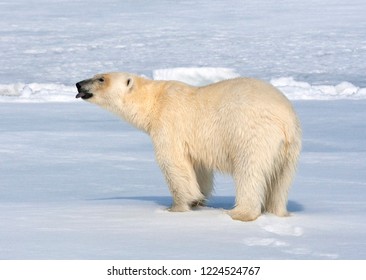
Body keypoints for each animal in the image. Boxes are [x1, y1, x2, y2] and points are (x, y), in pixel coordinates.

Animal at [76, 72, 302, 221]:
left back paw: (239, 212)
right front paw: (198, 201)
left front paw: (176, 207)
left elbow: (173, 163)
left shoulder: (169, 123)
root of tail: (285, 120)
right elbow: (199, 170)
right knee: (281, 181)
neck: (154, 101)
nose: (78, 84)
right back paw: (278, 211)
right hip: (290, 149)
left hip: (252, 134)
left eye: (100, 78)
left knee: (249, 171)